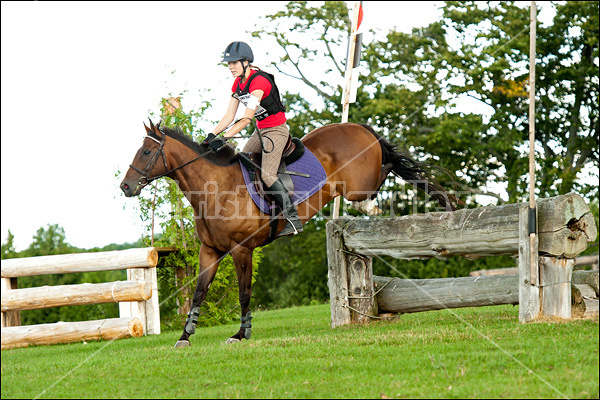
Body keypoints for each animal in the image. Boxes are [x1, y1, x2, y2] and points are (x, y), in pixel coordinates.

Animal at [120, 119, 460, 346]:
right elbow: (199, 291)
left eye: (147, 152)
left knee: (390, 168)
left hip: (358, 186)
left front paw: (241, 334)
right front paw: (185, 335)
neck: (216, 190)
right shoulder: (210, 251)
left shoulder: (242, 249)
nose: (125, 186)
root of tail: (359, 127)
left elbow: (244, 293)